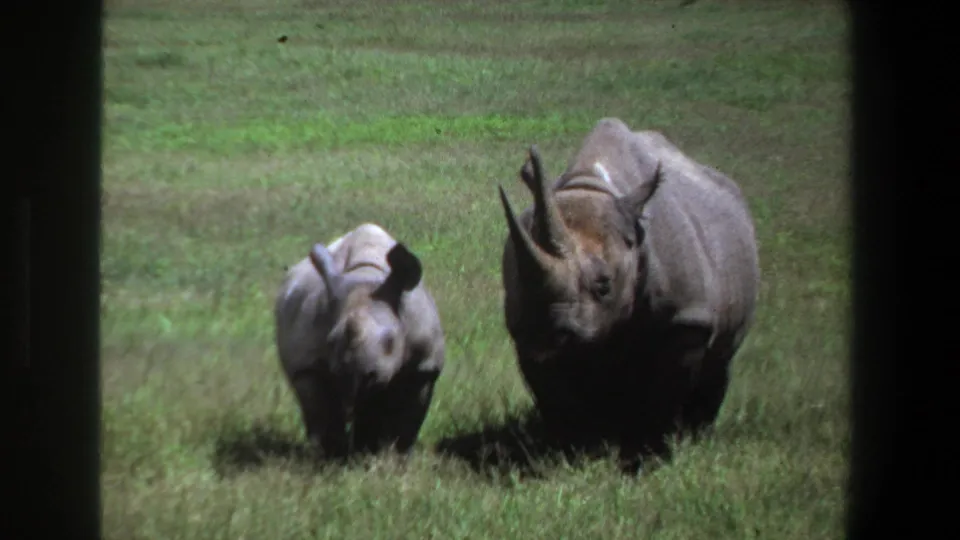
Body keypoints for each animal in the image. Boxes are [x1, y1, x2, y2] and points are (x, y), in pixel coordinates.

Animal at [274, 223, 445, 459]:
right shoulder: (307, 365)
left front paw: (396, 457)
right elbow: (322, 411)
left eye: (391, 341)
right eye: (330, 342)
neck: (366, 276)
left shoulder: (424, 366)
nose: (355, 375)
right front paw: (334, 458)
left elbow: (407, 418)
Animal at [496, 117, 760, 470]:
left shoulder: (686, 319)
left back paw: (696, 437)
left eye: (604, 284)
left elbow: (665, 392)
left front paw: (649, 458)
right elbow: (556, 397)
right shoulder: (526, 334)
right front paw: (571, 454)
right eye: (523, 284)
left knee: (720, 359)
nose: (548, 333)